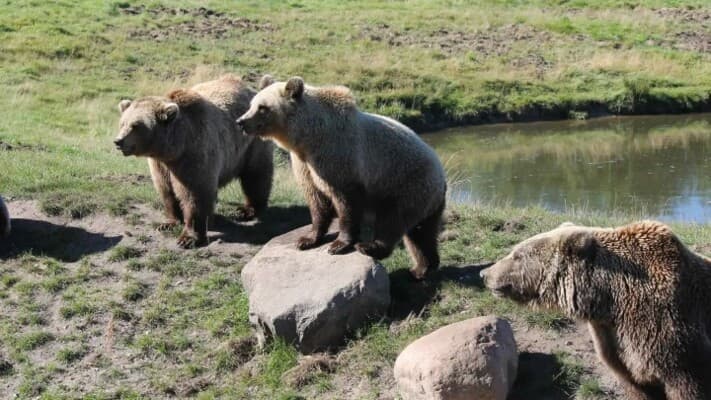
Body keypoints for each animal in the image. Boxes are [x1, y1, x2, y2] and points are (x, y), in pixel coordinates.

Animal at [115, 74, 274, 248]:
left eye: (136, 125)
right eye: (123, 122)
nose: (118, 141)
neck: (173, 149)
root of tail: (254, 90)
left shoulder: (193, 155)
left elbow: (195, 194)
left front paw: (188, 238)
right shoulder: (160, 164)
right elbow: (166, 190)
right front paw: (168, 222)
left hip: (252, 142)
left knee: (255, 175)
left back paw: (247, 209)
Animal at [236, 75, 447, 279]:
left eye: (262, 107)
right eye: (252, 104)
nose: (241, 122)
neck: (307, 138)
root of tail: (441, 176)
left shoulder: (338, 158)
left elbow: (346, 202)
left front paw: (338, 244)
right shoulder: (305, 165)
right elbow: (316, 201)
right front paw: (307, 239)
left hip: (405, 184)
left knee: (394, 220)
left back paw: (371, 247)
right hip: (425, 200)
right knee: (421, 234)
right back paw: (422, 268)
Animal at [480, 221, 711, 400]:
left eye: (517, 255)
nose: (485, 273)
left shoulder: (675, 341)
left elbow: (687, 386)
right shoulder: (615, 344)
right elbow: (635, 384)